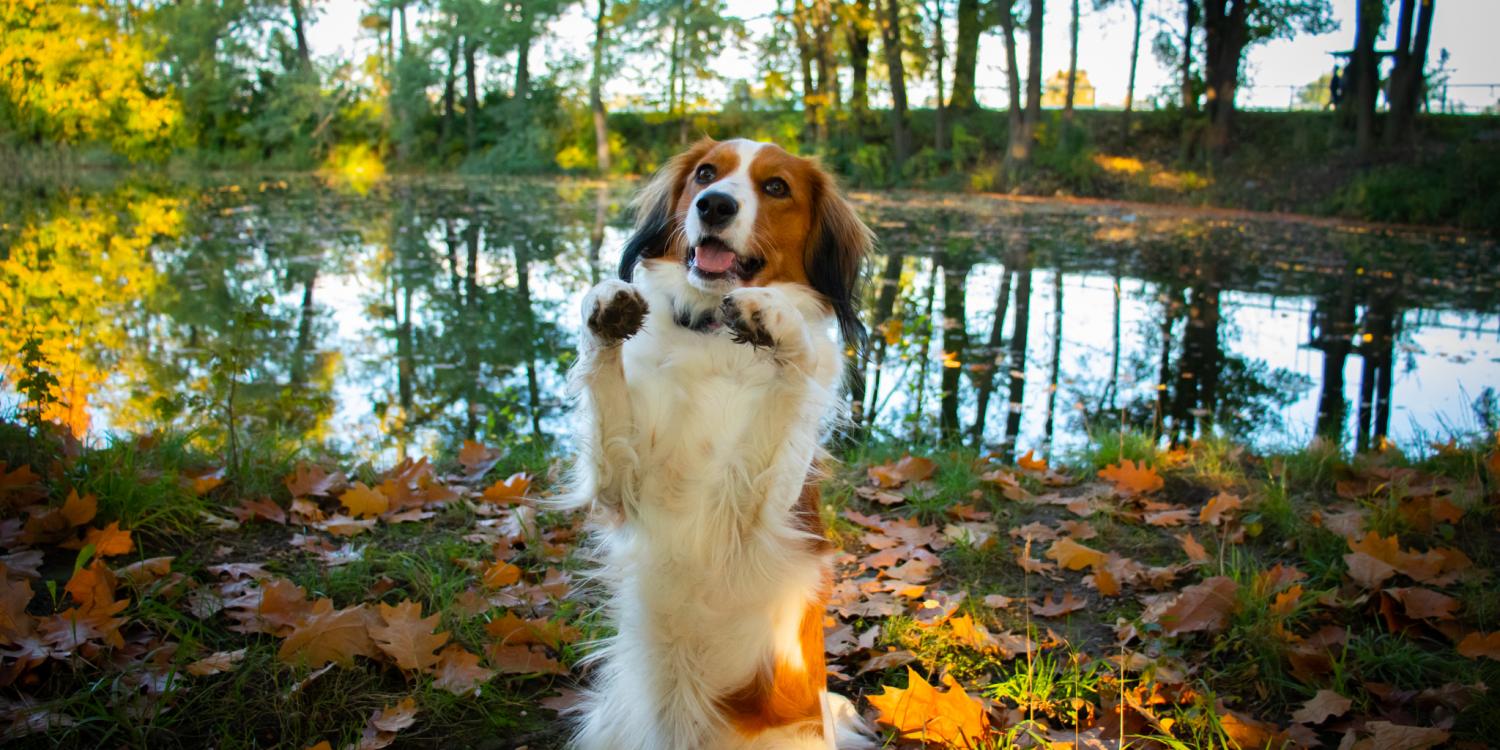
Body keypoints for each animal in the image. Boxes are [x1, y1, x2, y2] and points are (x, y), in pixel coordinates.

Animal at [561, 138, 870, 747]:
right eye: (706, 174)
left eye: (775, 187)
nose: (714, 205)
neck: (711, 336)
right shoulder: (618, 485)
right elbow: (604, 388)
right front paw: (602, 306)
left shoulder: (758, 509)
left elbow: (794, 369)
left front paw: (776, 318)